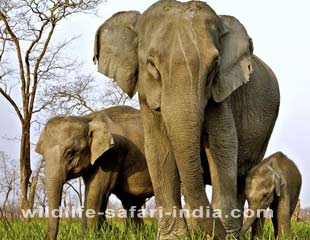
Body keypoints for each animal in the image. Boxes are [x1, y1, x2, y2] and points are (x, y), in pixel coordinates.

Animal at [35, 106, 153, 239]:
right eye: (43, 155)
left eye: (70, 153)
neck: (87, 119)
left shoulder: (111, 155)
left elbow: (95, 192)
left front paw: (89, 235)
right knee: (132, 202)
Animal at [93, 0, 280, 239]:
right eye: (151, 64)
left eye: (214, 66)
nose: (222, 232)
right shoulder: (147, 97)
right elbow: (158, 150)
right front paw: (176, 236)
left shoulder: (222, 95)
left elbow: (223, 147)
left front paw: (223, 234)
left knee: (243, 175)